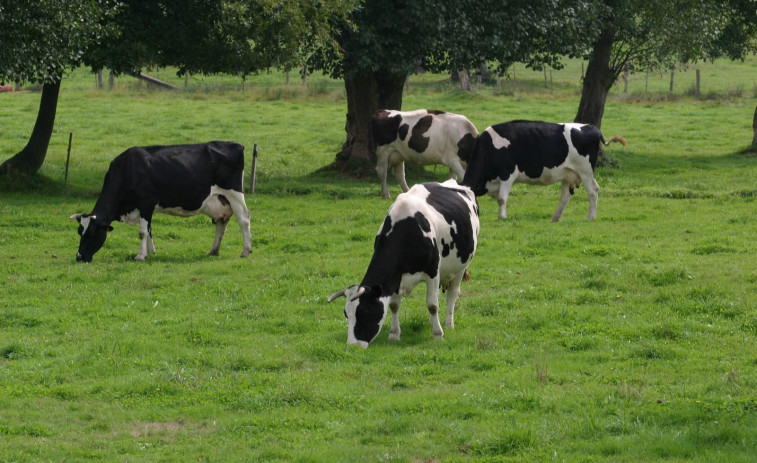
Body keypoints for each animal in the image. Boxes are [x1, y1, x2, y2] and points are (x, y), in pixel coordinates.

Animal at [70, 141, 251, 262]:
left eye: (91, 233)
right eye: (79, 232)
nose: (79, 257)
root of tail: (236, 145)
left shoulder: (146, 203)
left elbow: (142, 231)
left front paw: (140, 256)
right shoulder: (146, 208)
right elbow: (149, 229)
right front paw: (150, 252)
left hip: (234, 193)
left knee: (244, 220)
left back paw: (246, 251)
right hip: (221, 200)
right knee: (221, 222)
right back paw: (213, 251)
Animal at [324, 180, 478, 348]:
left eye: (364, 312)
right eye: (346, 314)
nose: (353, 345)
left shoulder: (432, 272)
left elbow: (432, 305)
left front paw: (438, 334)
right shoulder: (396, 277)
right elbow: (394, 305)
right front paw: (394, 334)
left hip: (461, 266)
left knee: (452, 294)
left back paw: (449, 324)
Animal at [460, 119, 628, 221]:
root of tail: (592, 127)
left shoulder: (507, 174)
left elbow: (502, 198)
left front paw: (502, 217)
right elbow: (499, 198)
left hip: (585, 171)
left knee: (593, 191)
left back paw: (590, 217)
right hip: (568, 174)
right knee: (565, 196)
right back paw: (555, 218)